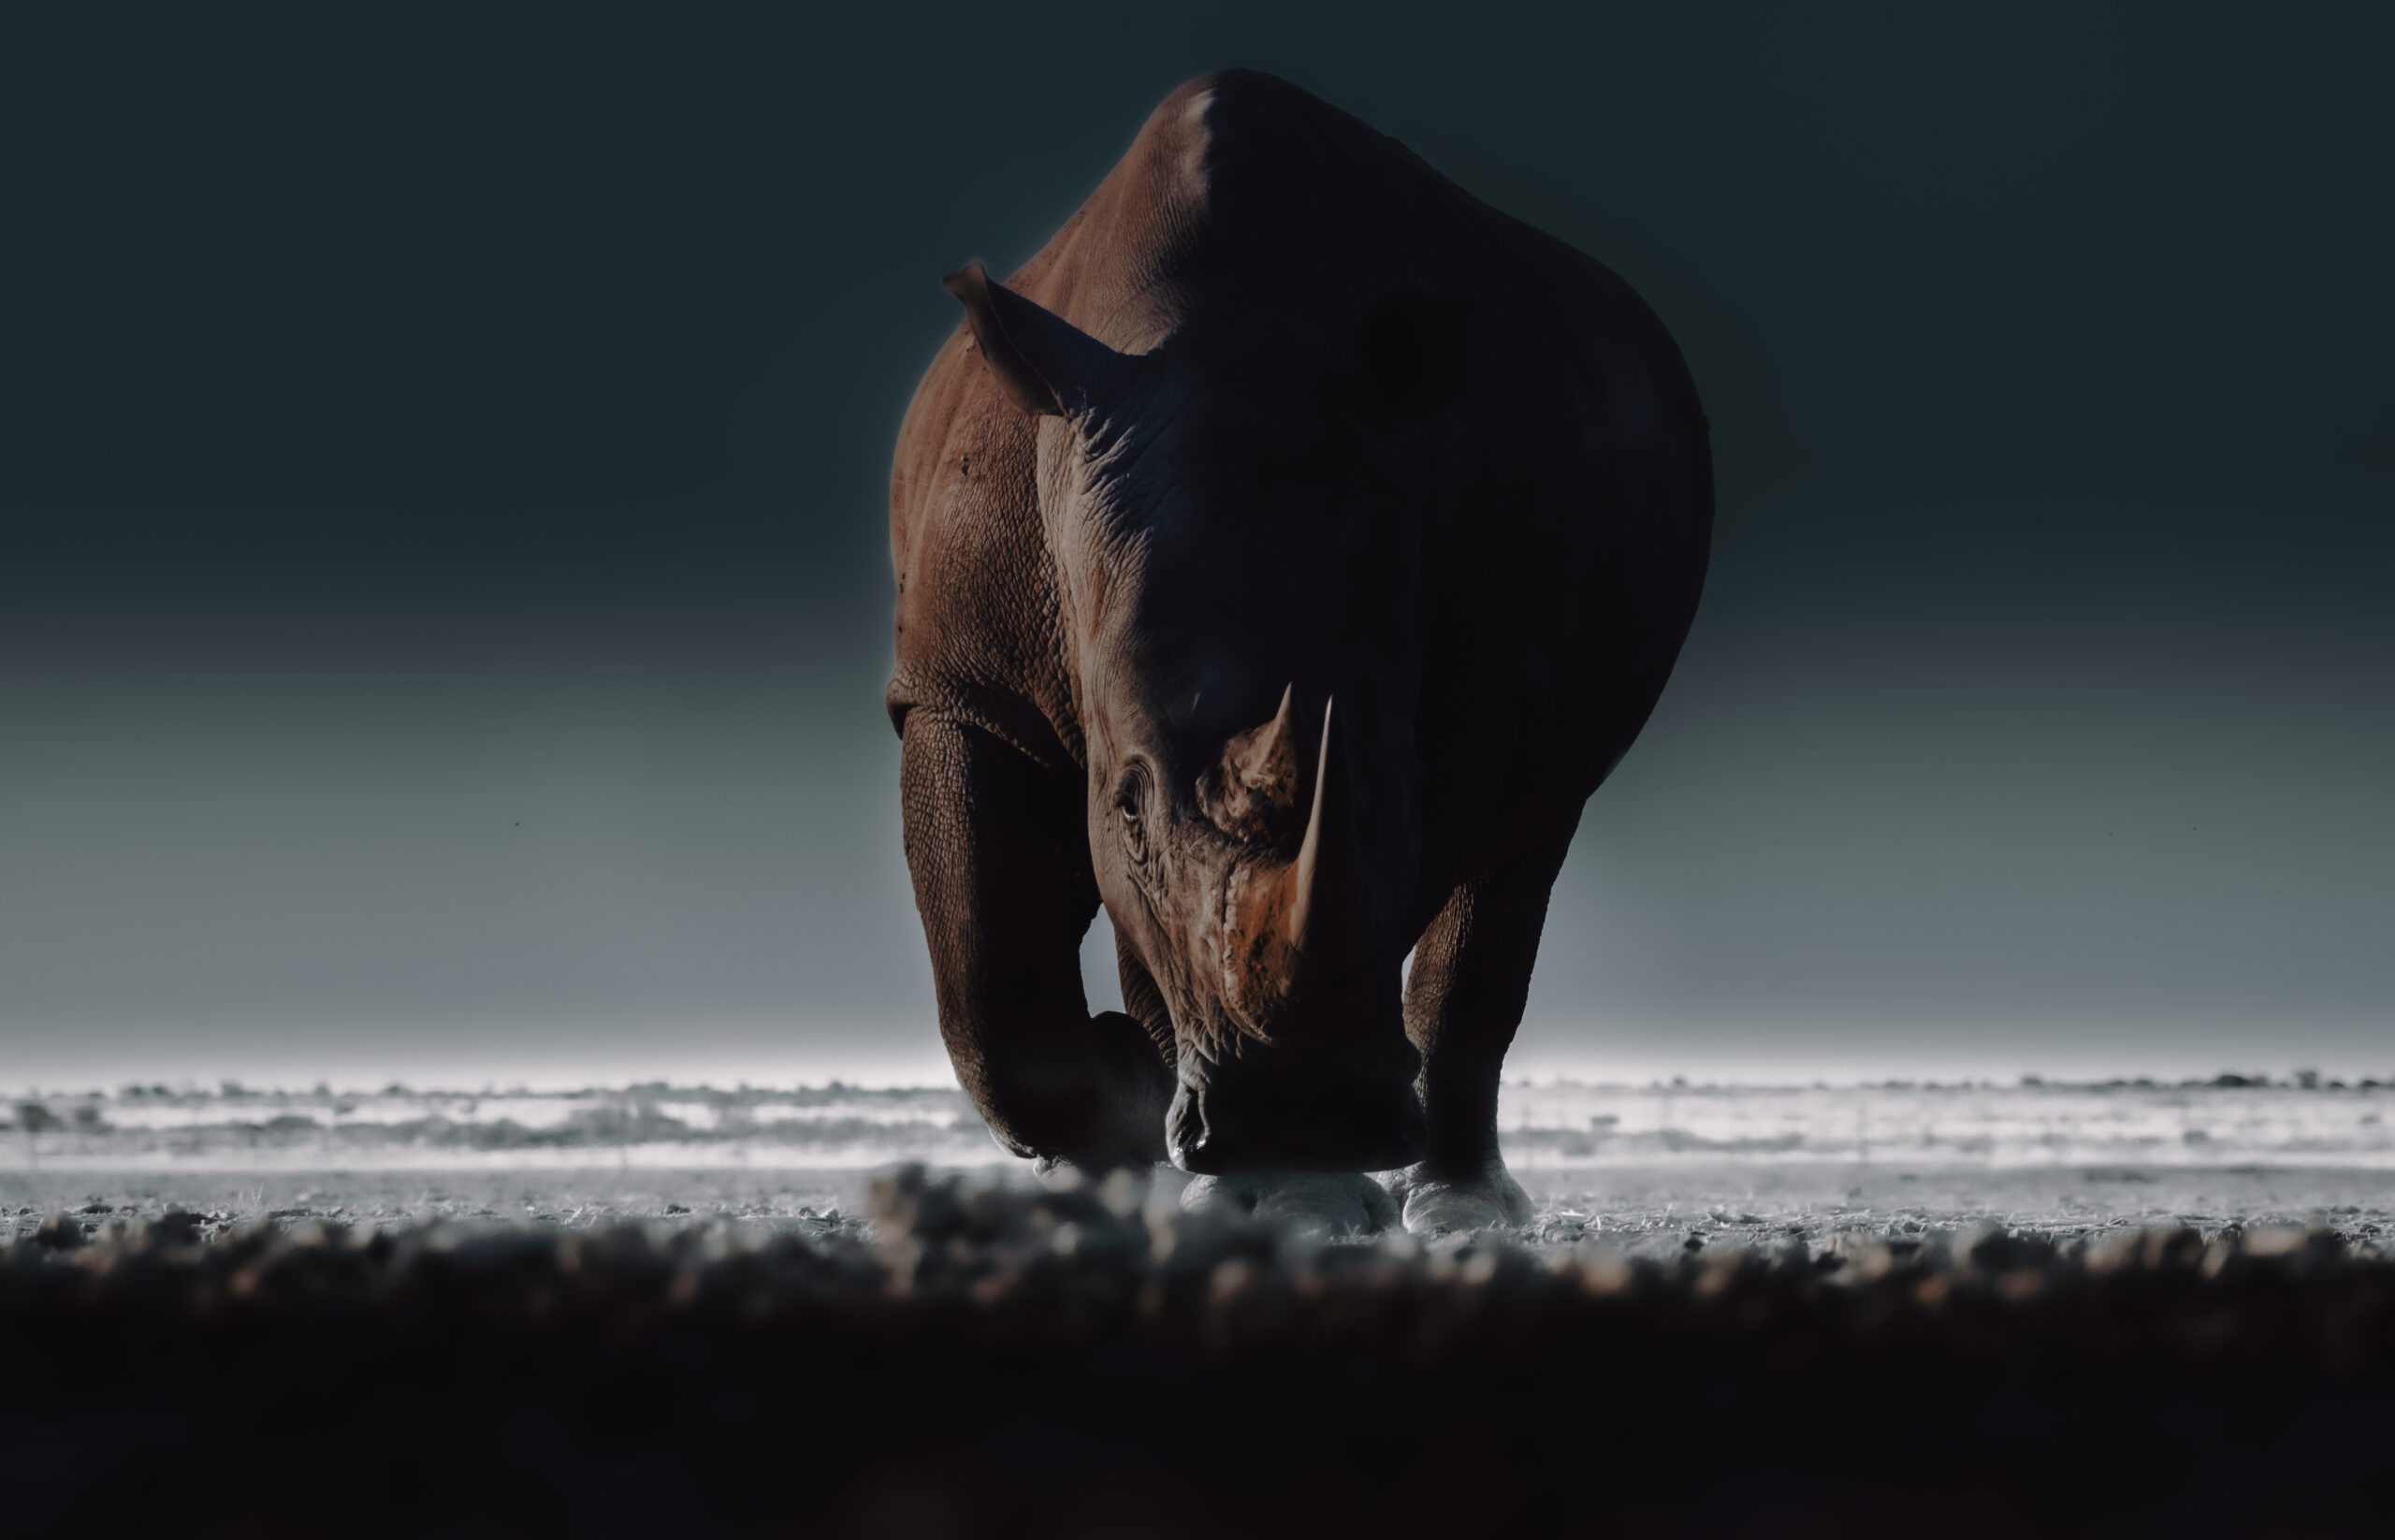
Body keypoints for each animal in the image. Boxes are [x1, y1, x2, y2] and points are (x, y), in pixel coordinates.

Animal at [886, 71, 1711, 1233]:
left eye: (1397, 783)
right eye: (1123, 803)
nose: (1301, 1115)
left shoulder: (1482, 691)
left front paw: (1295, 1187)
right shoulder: (962, 678)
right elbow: (988, 969)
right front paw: (1136, 1118)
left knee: (1526, 843)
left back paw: (1449, 1207)